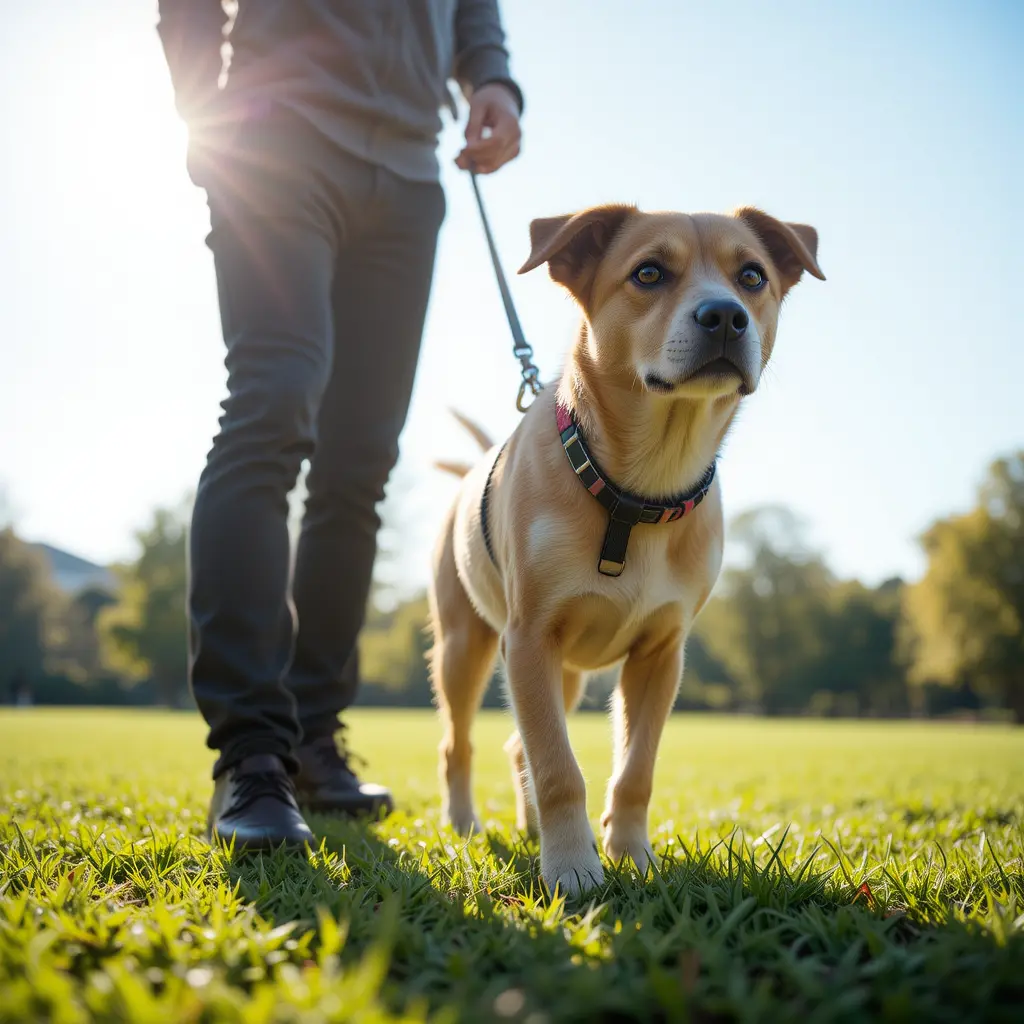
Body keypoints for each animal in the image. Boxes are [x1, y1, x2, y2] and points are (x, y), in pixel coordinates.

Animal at [428, 201, 819, 897]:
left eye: (752, 275)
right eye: (648, 272)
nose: (725, 315)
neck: (640, 493)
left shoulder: (661, 653)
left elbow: (634, 769)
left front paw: (631, 855)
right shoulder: (528, 638)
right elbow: (559, 767)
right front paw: (573, 870)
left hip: (566, 672)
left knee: (519, 746)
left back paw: (531, 826)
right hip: (465, 646)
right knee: (463, 744)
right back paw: (466, 826)